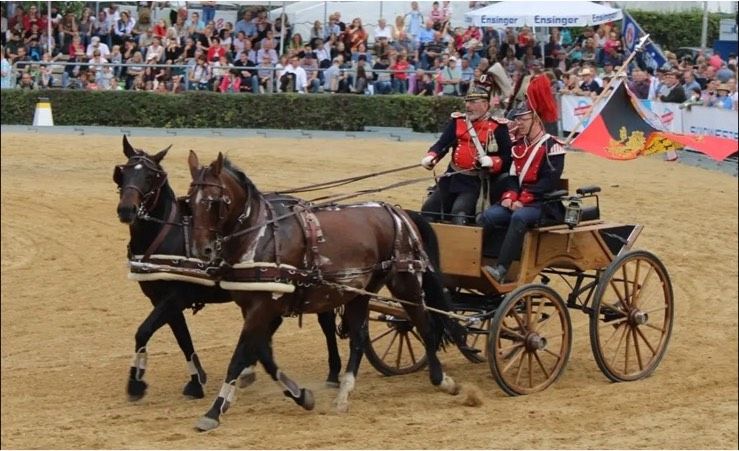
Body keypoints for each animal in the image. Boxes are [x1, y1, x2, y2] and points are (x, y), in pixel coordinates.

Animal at [114, 136, 346, 400]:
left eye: (150, 176)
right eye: (123, 173)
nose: (126, 210)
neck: (168, 234)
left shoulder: (176, 297)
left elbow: (144, 331)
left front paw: (135, 383)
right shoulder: (161, 298)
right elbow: (182, 337)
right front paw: (196, 380)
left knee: (326, 323)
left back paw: (333, 371)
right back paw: (249, 368)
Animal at [185, 153, 462, 434]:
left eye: (214, 201)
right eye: (189, 202)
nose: (201, 250)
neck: (260, 235)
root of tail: (399, 212)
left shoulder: (264, 306)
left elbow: (240, 356)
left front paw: (213, 411)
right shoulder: (255, 308)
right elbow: (262, 353)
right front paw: (300, 394)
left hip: (406, 281)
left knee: (425, 326)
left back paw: (442, 380)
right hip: (360, 292)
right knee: (359, 339)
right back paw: (344, 394)